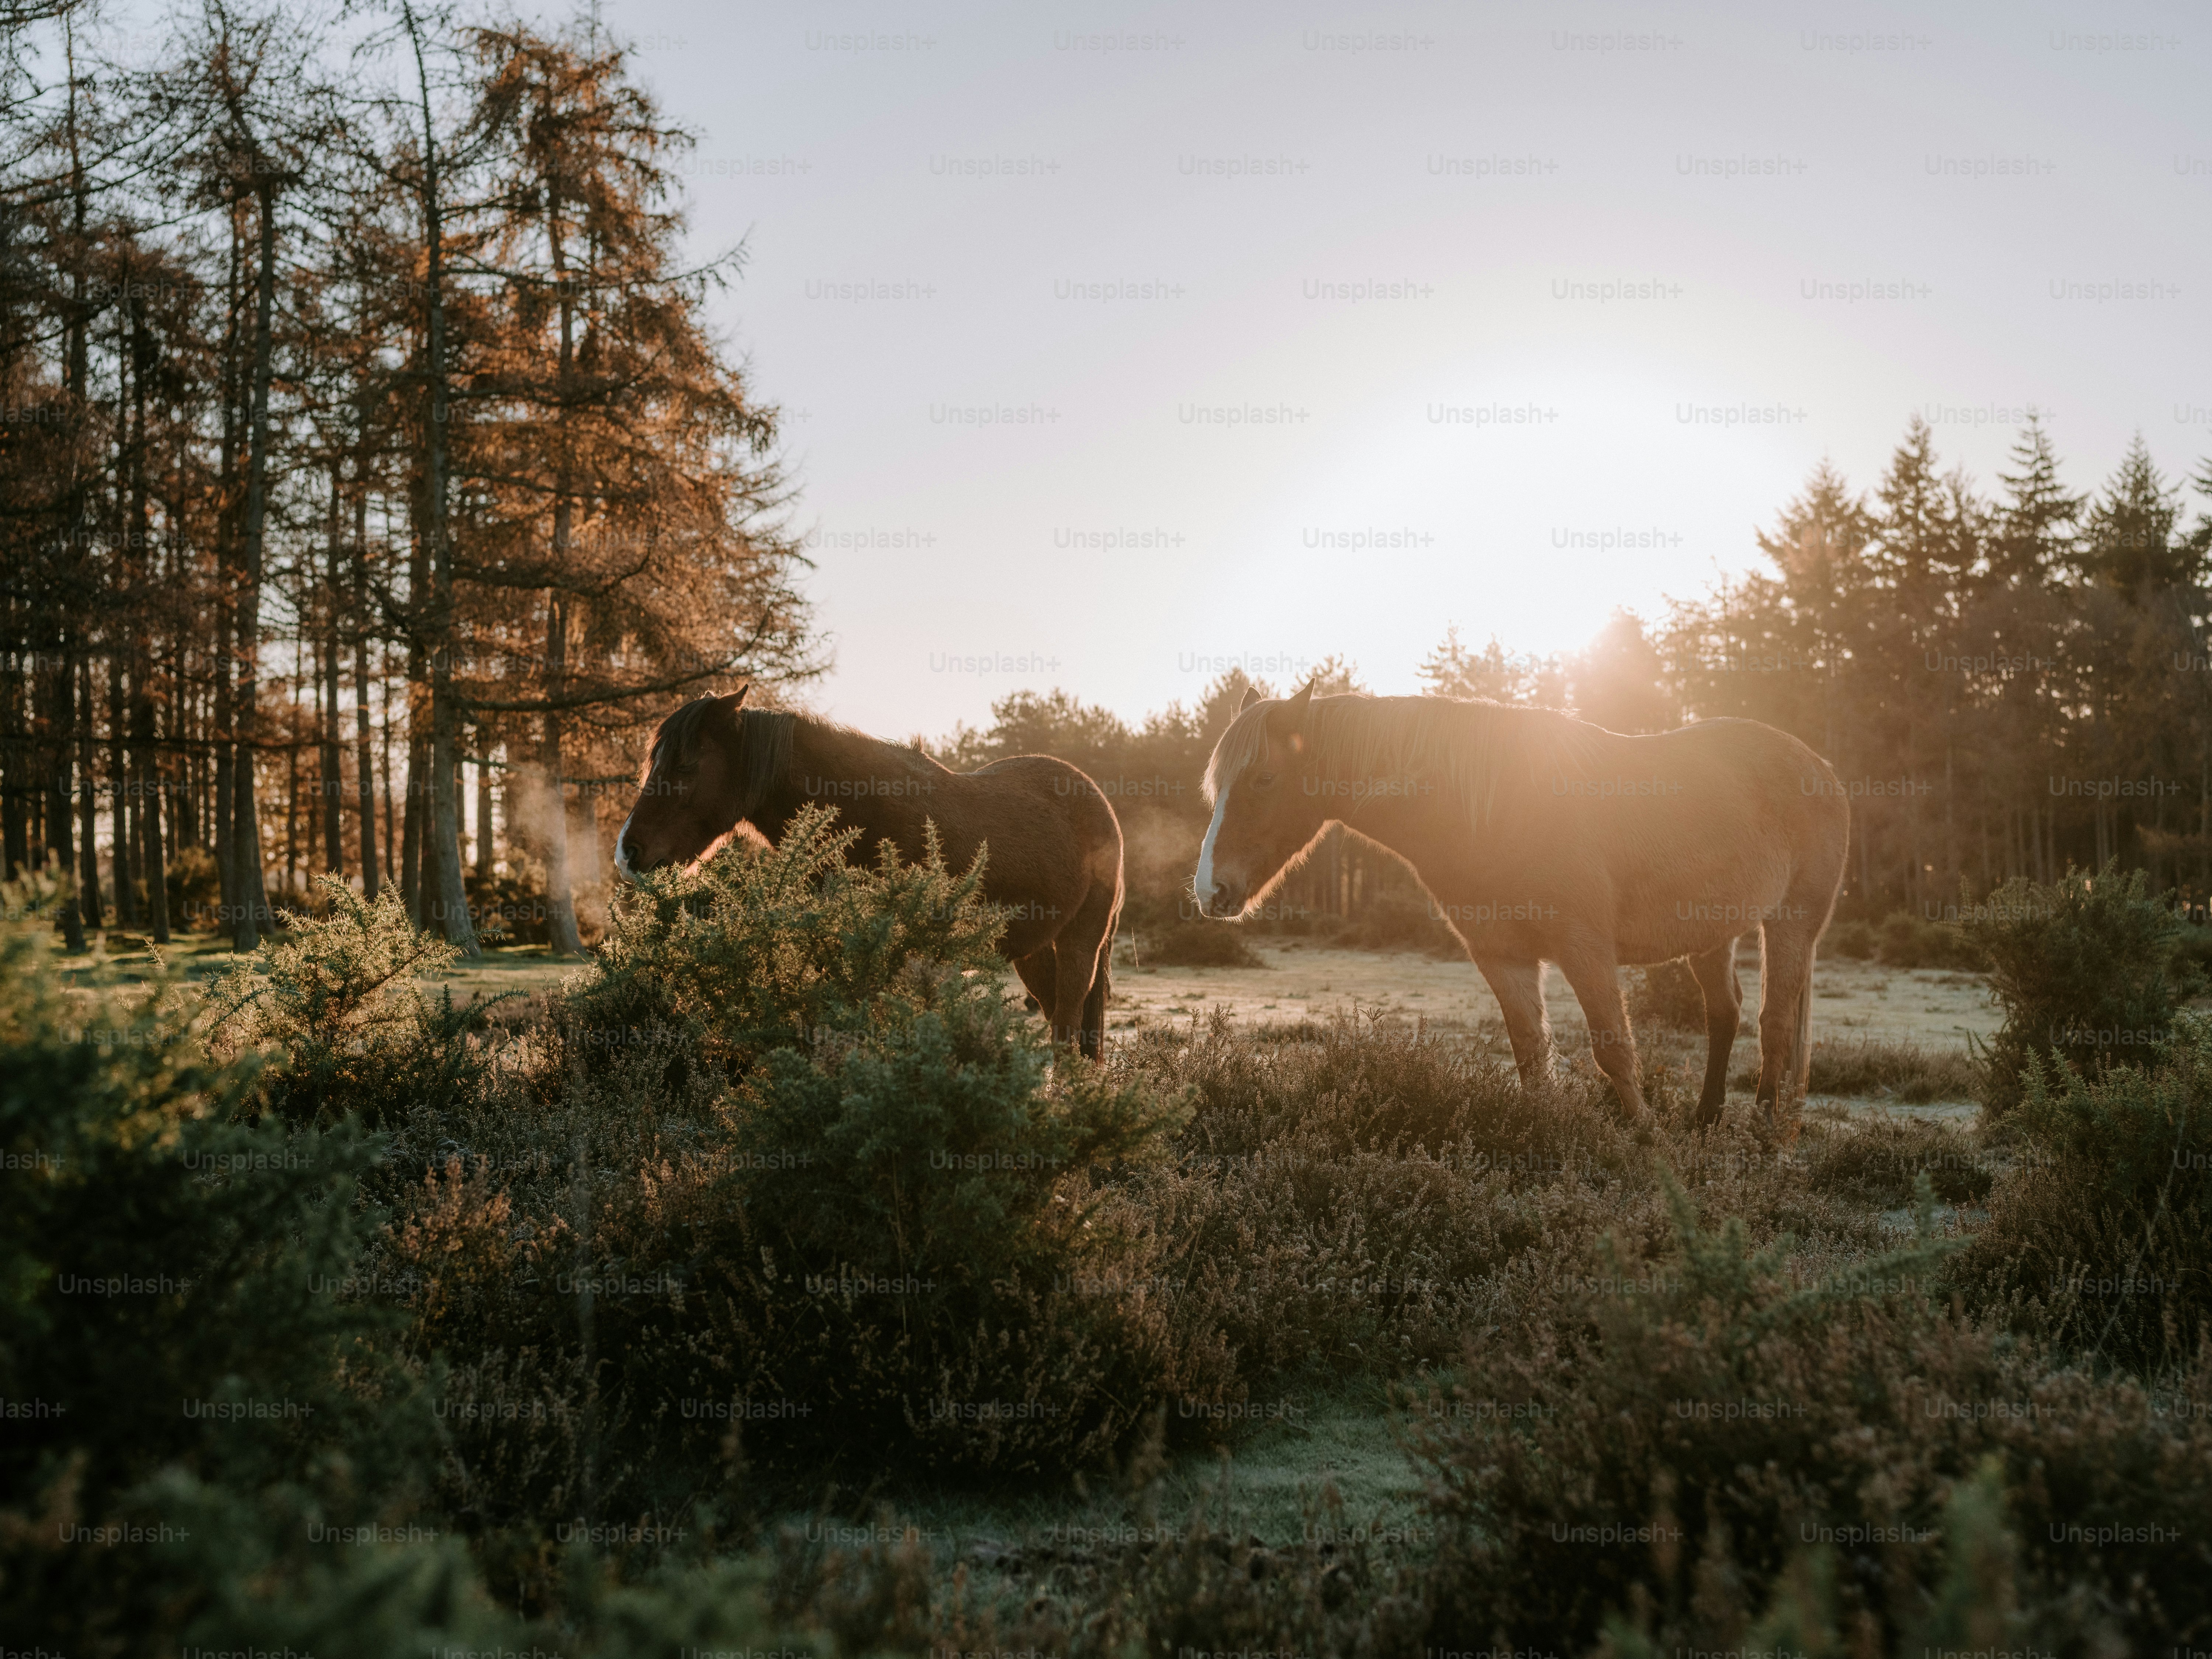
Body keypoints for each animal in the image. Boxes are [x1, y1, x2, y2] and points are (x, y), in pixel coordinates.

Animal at [614, 688, 1125, 1057]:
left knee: (1067, 1032)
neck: (867, 820)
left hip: (1082, 942)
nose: (627, 852)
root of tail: (1094, 796)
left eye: (686, 765)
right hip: (1035, 952)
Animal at [1192, 682, 1849, 1128]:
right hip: (1712, 932)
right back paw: (1707, 1122)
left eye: (1265, 779)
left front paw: (1646, 1139)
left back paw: (1764, 1131)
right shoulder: (1502, 957)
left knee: (1774, 1024)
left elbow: (1613, 1050)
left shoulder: (1585, 950)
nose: (1210, 891)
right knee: (1726, 1015)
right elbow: (1532, 1058)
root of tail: (1821, 768)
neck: (1492, 809)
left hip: (1792, 924)